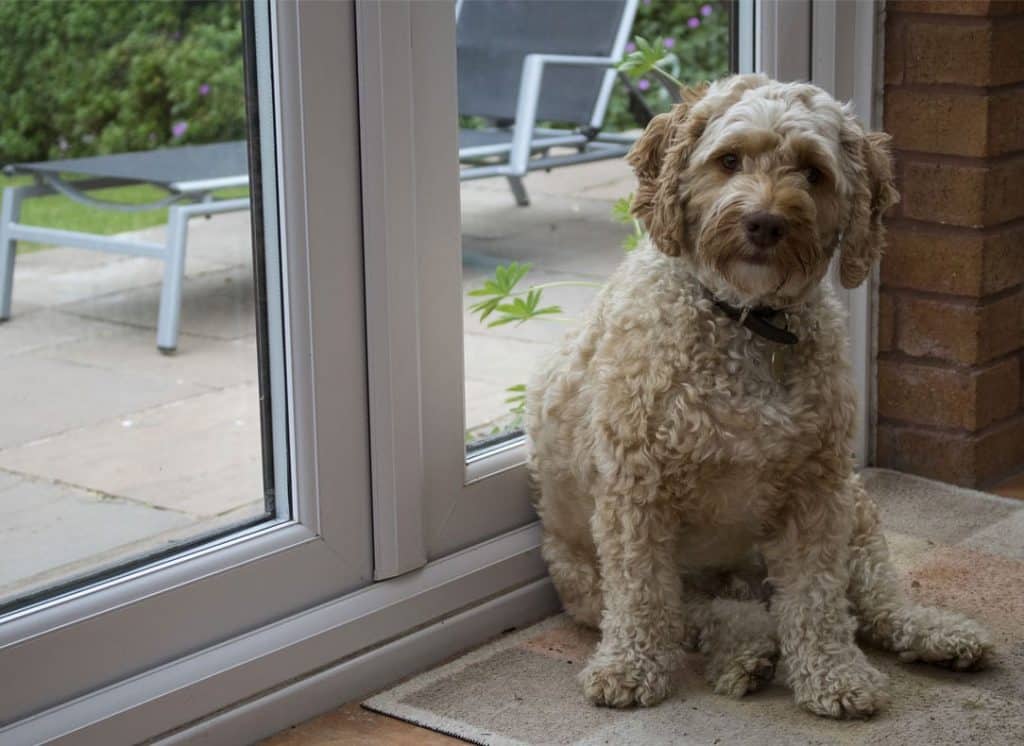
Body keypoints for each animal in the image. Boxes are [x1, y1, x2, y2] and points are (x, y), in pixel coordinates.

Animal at [524, 74, 987, 716]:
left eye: (813, 171)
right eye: (728, 160)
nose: (765, 223)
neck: (748, 320)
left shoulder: (818, 491)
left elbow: (819, 600)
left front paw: (834, 675)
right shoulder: (635, 495)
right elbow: (643, 596)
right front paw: (629, 669)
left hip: (857, 509)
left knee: (873, 601)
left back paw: (934, 633)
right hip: (588, 582)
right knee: (708, 615)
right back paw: (749, 653)